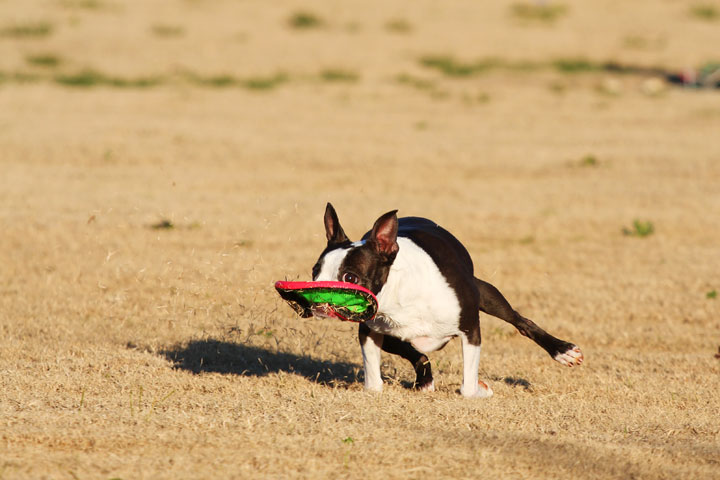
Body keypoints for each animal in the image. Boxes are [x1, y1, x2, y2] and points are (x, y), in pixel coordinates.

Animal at [312, 203, 584, 398]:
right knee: (415, 351)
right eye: (315, 271)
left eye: (350, 277)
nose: (316, 296)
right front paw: (415, 381)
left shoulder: (471, 329)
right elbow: (374, 379)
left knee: (521, 321)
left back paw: (563, 351)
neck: (398, 298)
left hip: (486, 293)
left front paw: (479, 391)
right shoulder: (370, 331)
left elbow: (468, 386)